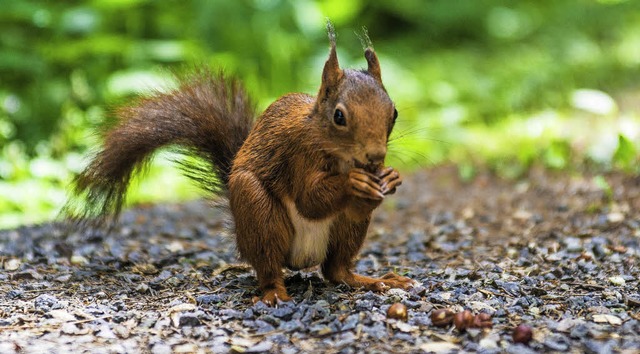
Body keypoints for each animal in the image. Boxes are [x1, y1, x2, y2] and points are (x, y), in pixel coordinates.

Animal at [66, 22, 416, 304]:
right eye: (339, 116)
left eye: (394, 113)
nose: (375, 157)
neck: (338, 153)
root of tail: (300, 259)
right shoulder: (298, 153)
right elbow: (309, 200)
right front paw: (352, 182)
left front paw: (391, 177)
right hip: (258, 212)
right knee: (270, 268)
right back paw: (274, 293)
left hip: (345, 231)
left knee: (336, 270)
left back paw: (376, 280)